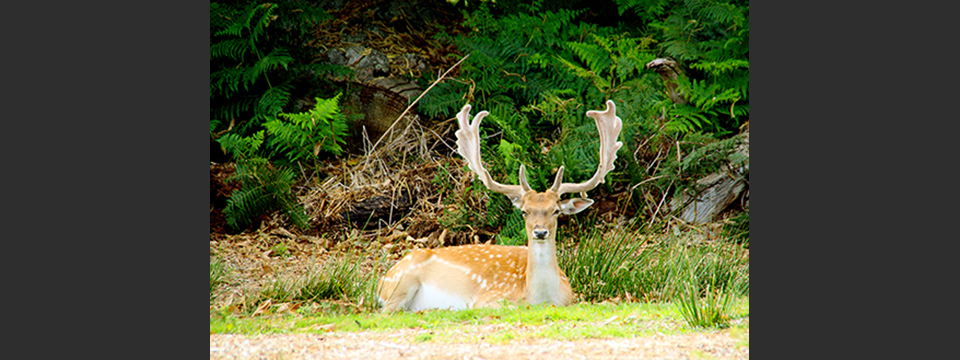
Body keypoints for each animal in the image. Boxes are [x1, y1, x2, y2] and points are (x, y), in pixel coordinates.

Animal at [376, 100, 624, 310]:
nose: (540, 232)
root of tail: (380, 283)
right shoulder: (486, 299)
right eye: (524, 211)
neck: (540, 298)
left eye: (555, 211)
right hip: (400, 285)